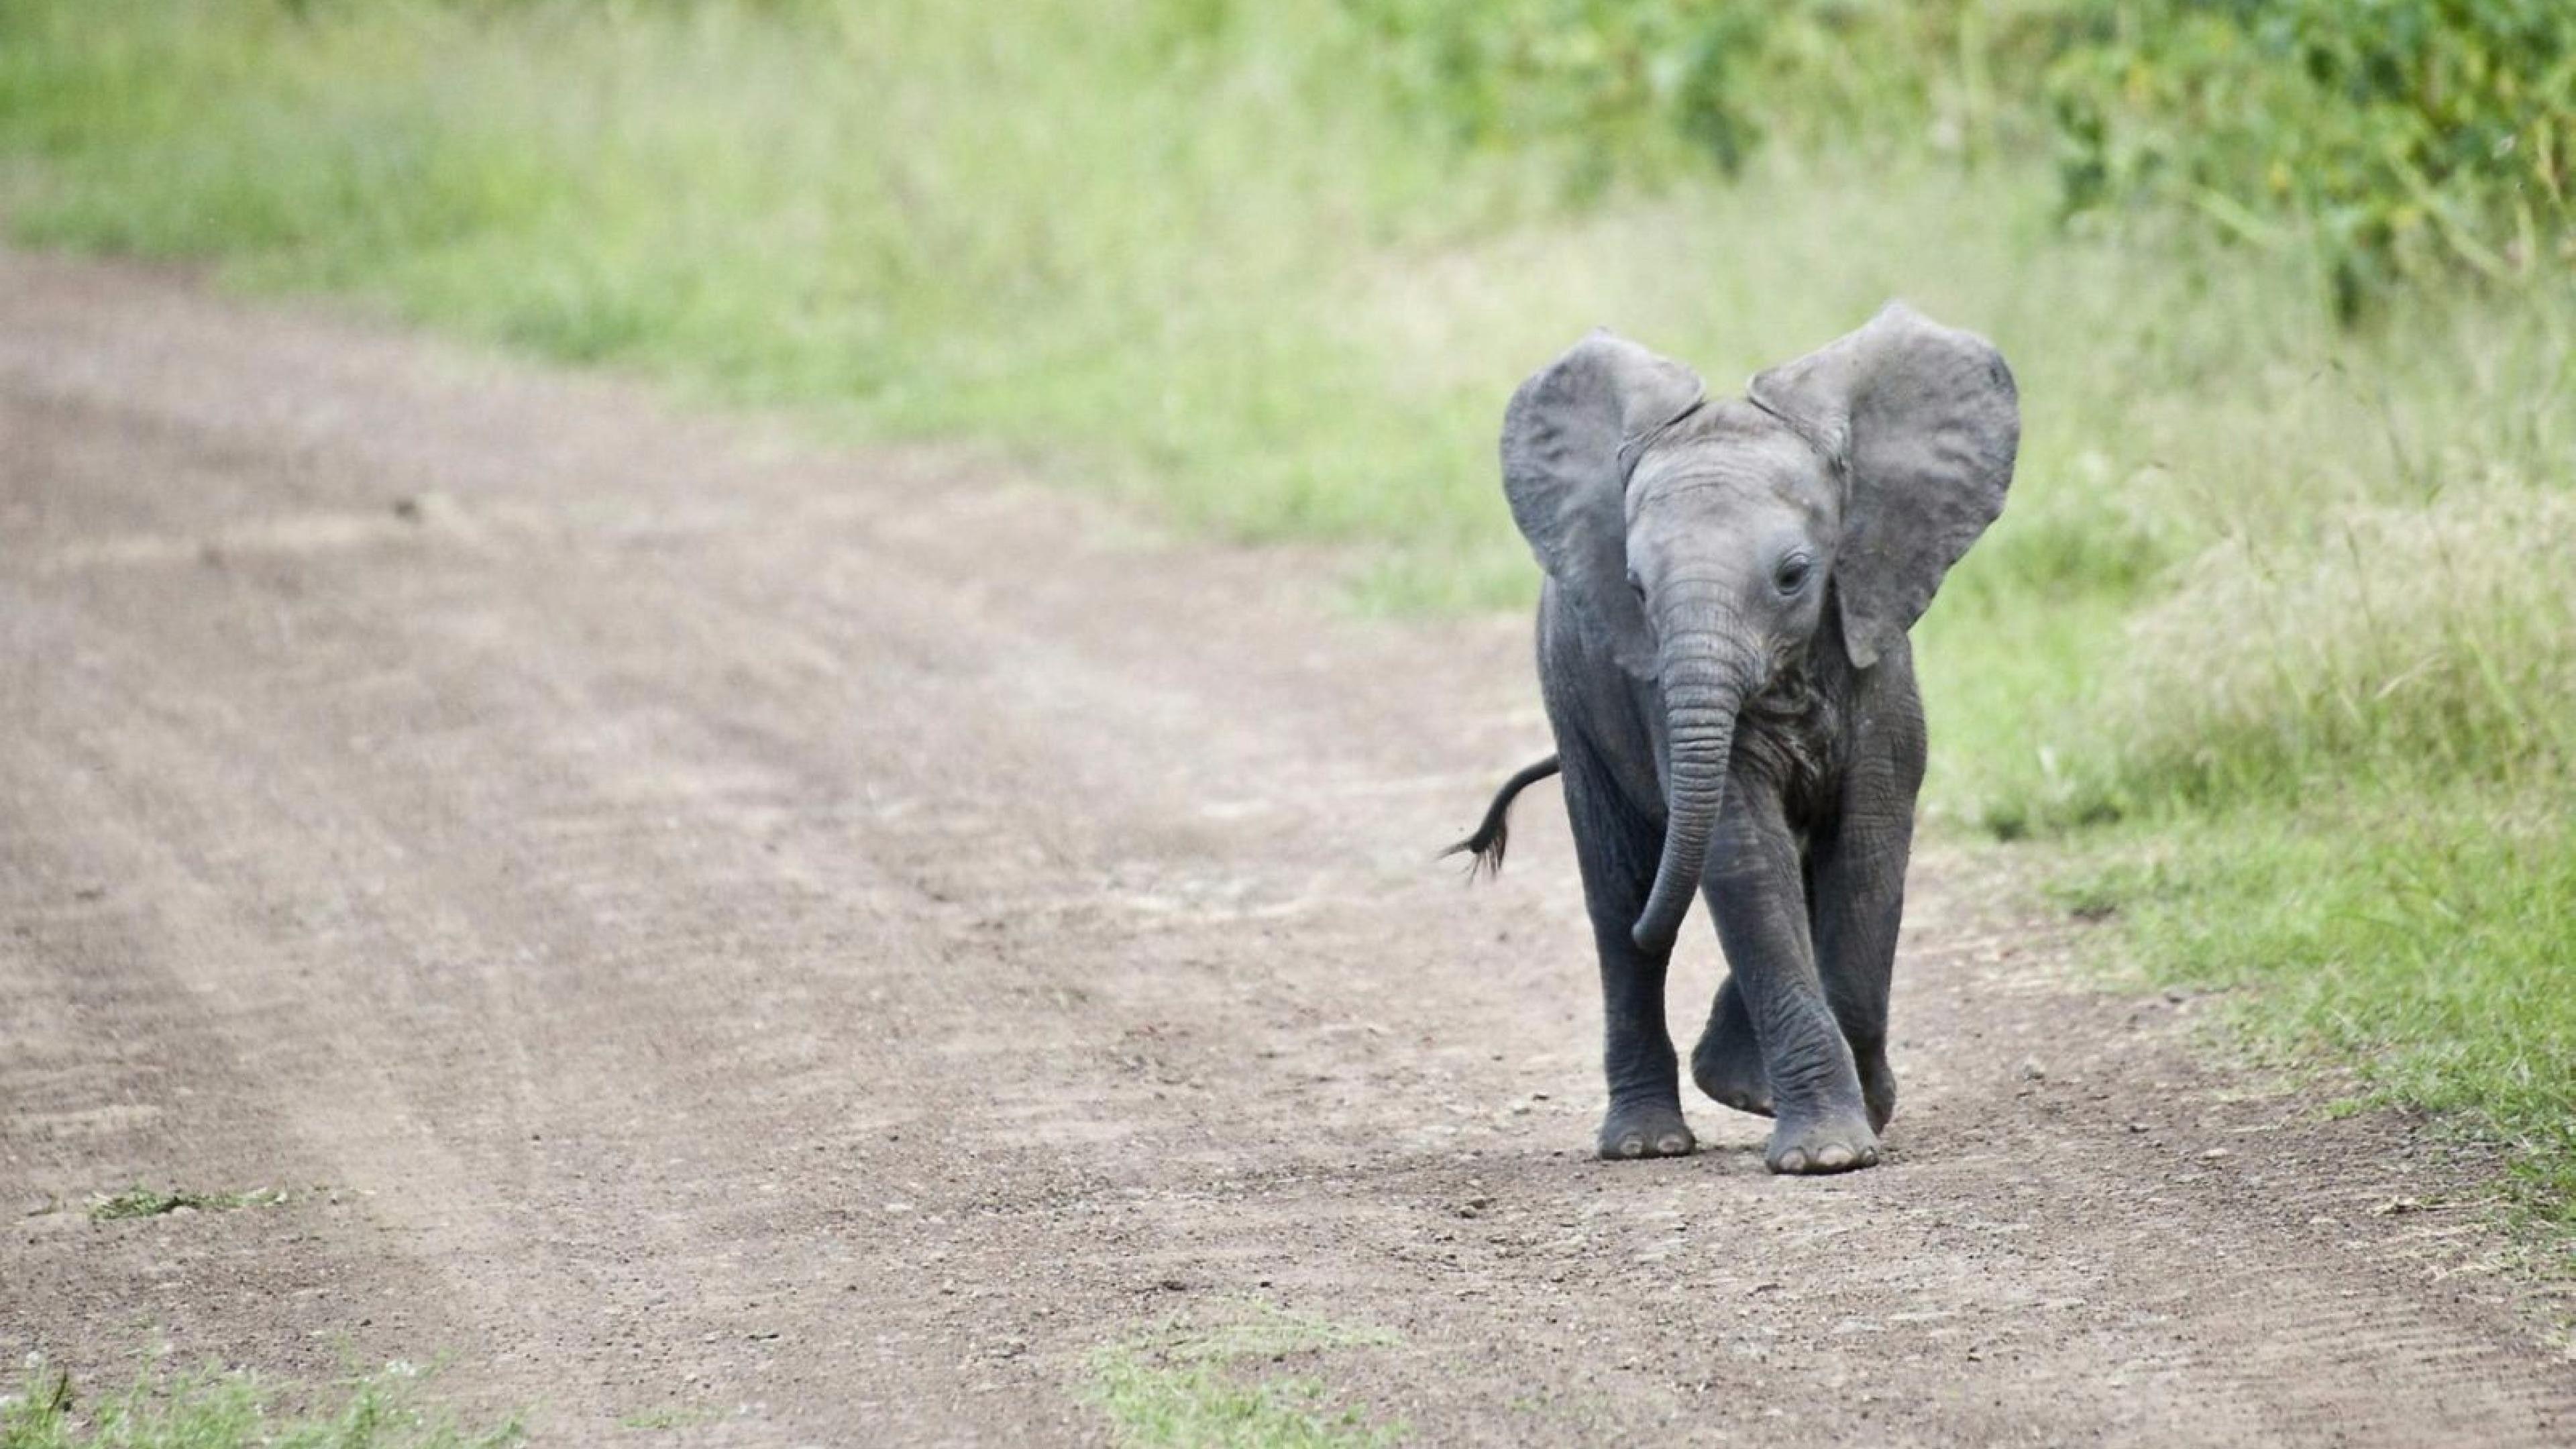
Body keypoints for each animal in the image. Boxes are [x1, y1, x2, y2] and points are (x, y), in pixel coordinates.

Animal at [1452, 304, 2009, 1175]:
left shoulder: (1876, 654)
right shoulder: (1657, 697)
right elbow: (1744, 854)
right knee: (1620, 904)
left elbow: (1867, 852)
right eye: (1636, 589)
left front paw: (1854, 1123)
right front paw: (1828, 1154)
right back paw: (1648, 1142)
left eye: (1794, 576)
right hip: (1574, 709)